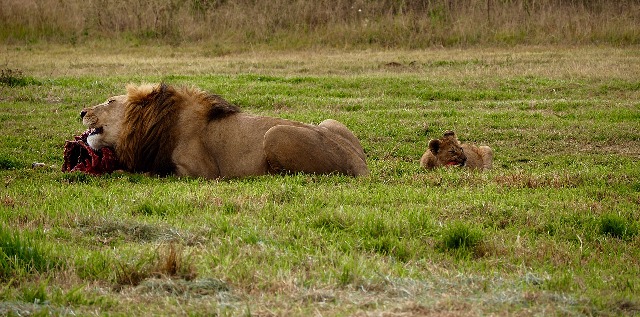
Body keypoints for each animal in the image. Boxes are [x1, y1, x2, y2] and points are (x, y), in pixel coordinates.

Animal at [66, 82, 370, 178]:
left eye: (110, 101)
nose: (81, 112)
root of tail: (359, 163)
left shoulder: (200, 172)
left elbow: (149, 172)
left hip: (274, 135)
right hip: (330, 121)